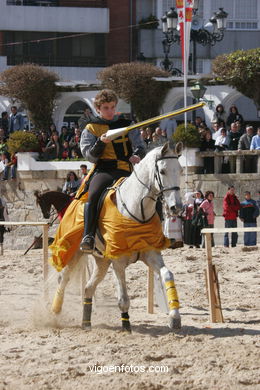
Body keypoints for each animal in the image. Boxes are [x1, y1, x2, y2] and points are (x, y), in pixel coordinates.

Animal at [50, 143, 183, 332]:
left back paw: (86, 323)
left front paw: (174, 317)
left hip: (102, 262)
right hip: (74, 252)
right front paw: (126, 326)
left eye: (179, 170)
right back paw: (55, 312)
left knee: (88, 288)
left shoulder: (151, 254)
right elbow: (124, 299)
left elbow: (168, 275)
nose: (176, 207)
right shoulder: (118, 262)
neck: (136, 211)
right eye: (163, 171)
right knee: (64, 279)